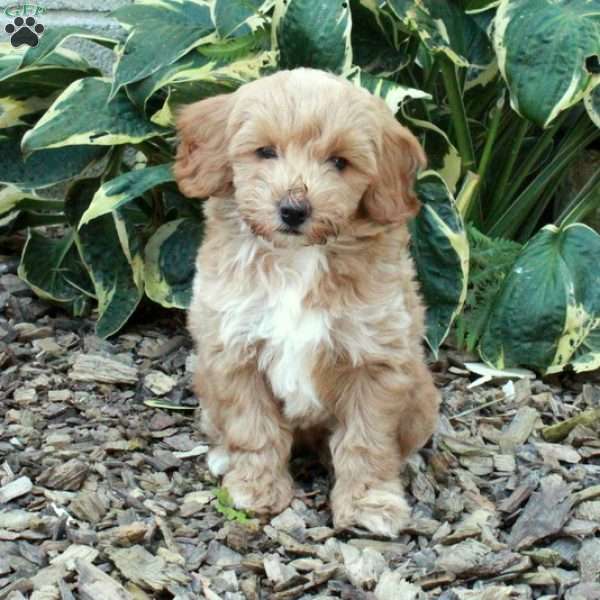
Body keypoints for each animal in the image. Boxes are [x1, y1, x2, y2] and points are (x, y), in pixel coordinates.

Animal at [176, 68, 438, 536]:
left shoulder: (376, 360)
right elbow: (254, 428)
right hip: (206, 379)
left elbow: (367, 440)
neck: (297, 259)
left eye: (339, 162)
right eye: (265, 152)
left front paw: (369, 502)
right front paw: (256, 487)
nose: (294, 209)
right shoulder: (234, 350)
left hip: (423, 395)